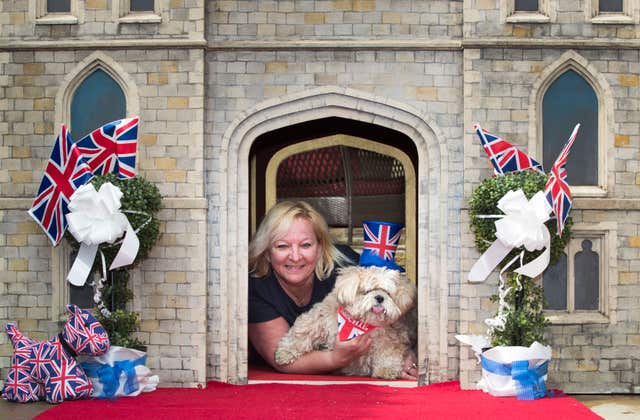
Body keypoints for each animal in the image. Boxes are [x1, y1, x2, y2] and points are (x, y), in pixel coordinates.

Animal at [274, 266, 416, 380]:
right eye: (366, 291)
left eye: (388, 293)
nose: (380, 297)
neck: (362, 323)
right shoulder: (321, 319)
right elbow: (303, 332)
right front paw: (285, 352)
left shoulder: (391, 341)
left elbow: (388, 354)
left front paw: (386, 370)